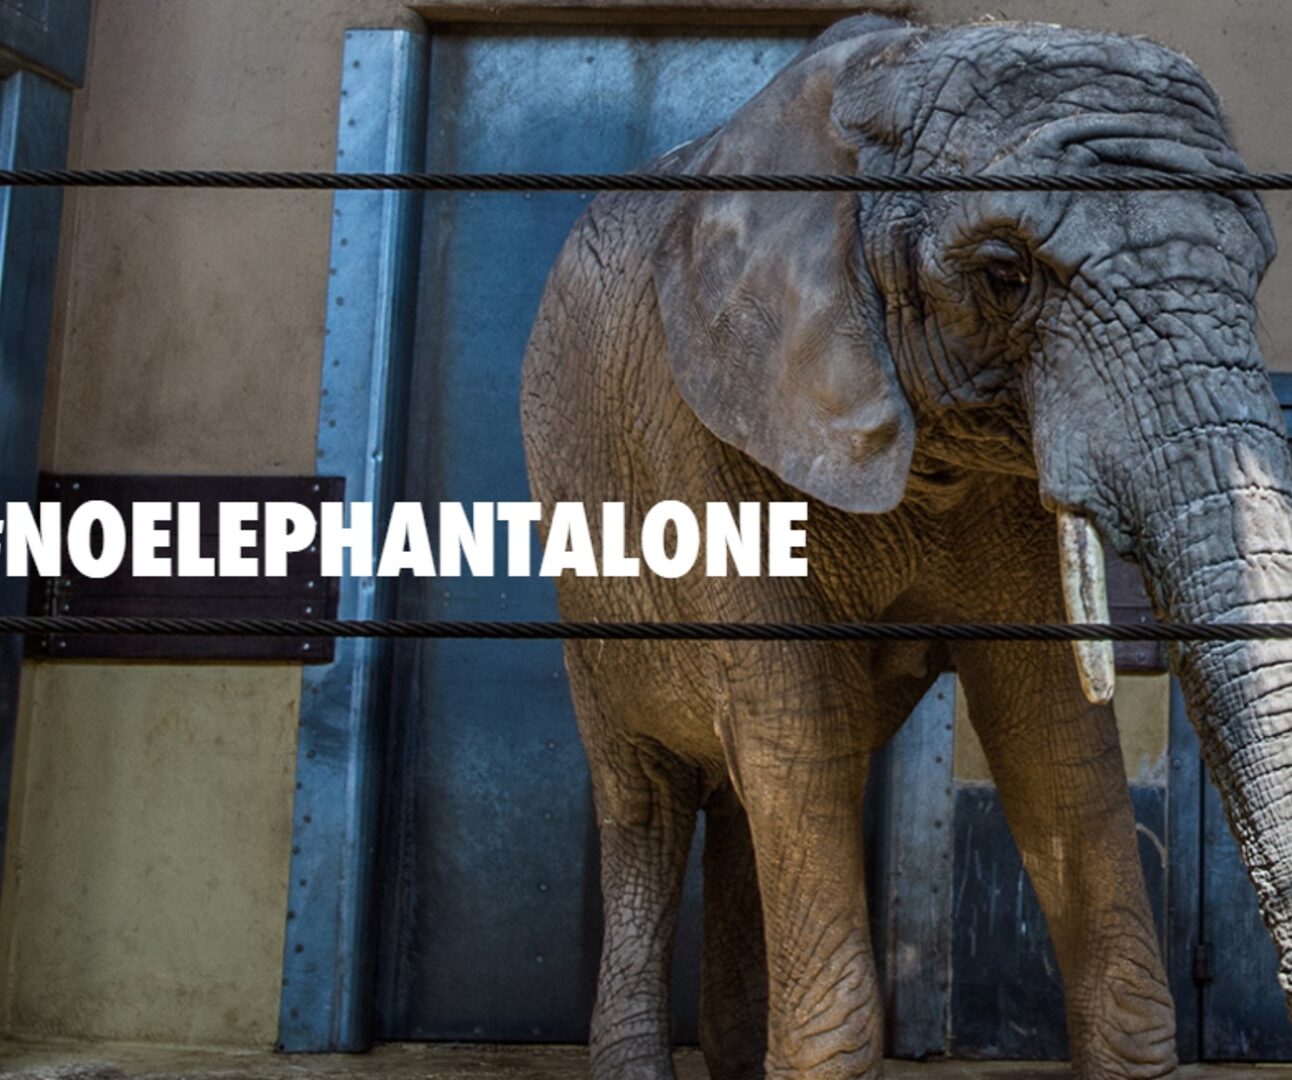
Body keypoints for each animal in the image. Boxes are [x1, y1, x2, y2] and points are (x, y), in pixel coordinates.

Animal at [520, 13, 1292, 1080]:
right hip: (586, 592)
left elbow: (1051, 733)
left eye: (1256, 272)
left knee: (751, 803)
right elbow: (796, 720)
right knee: (650, 803)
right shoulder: (702, 430)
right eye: (1005, 273)